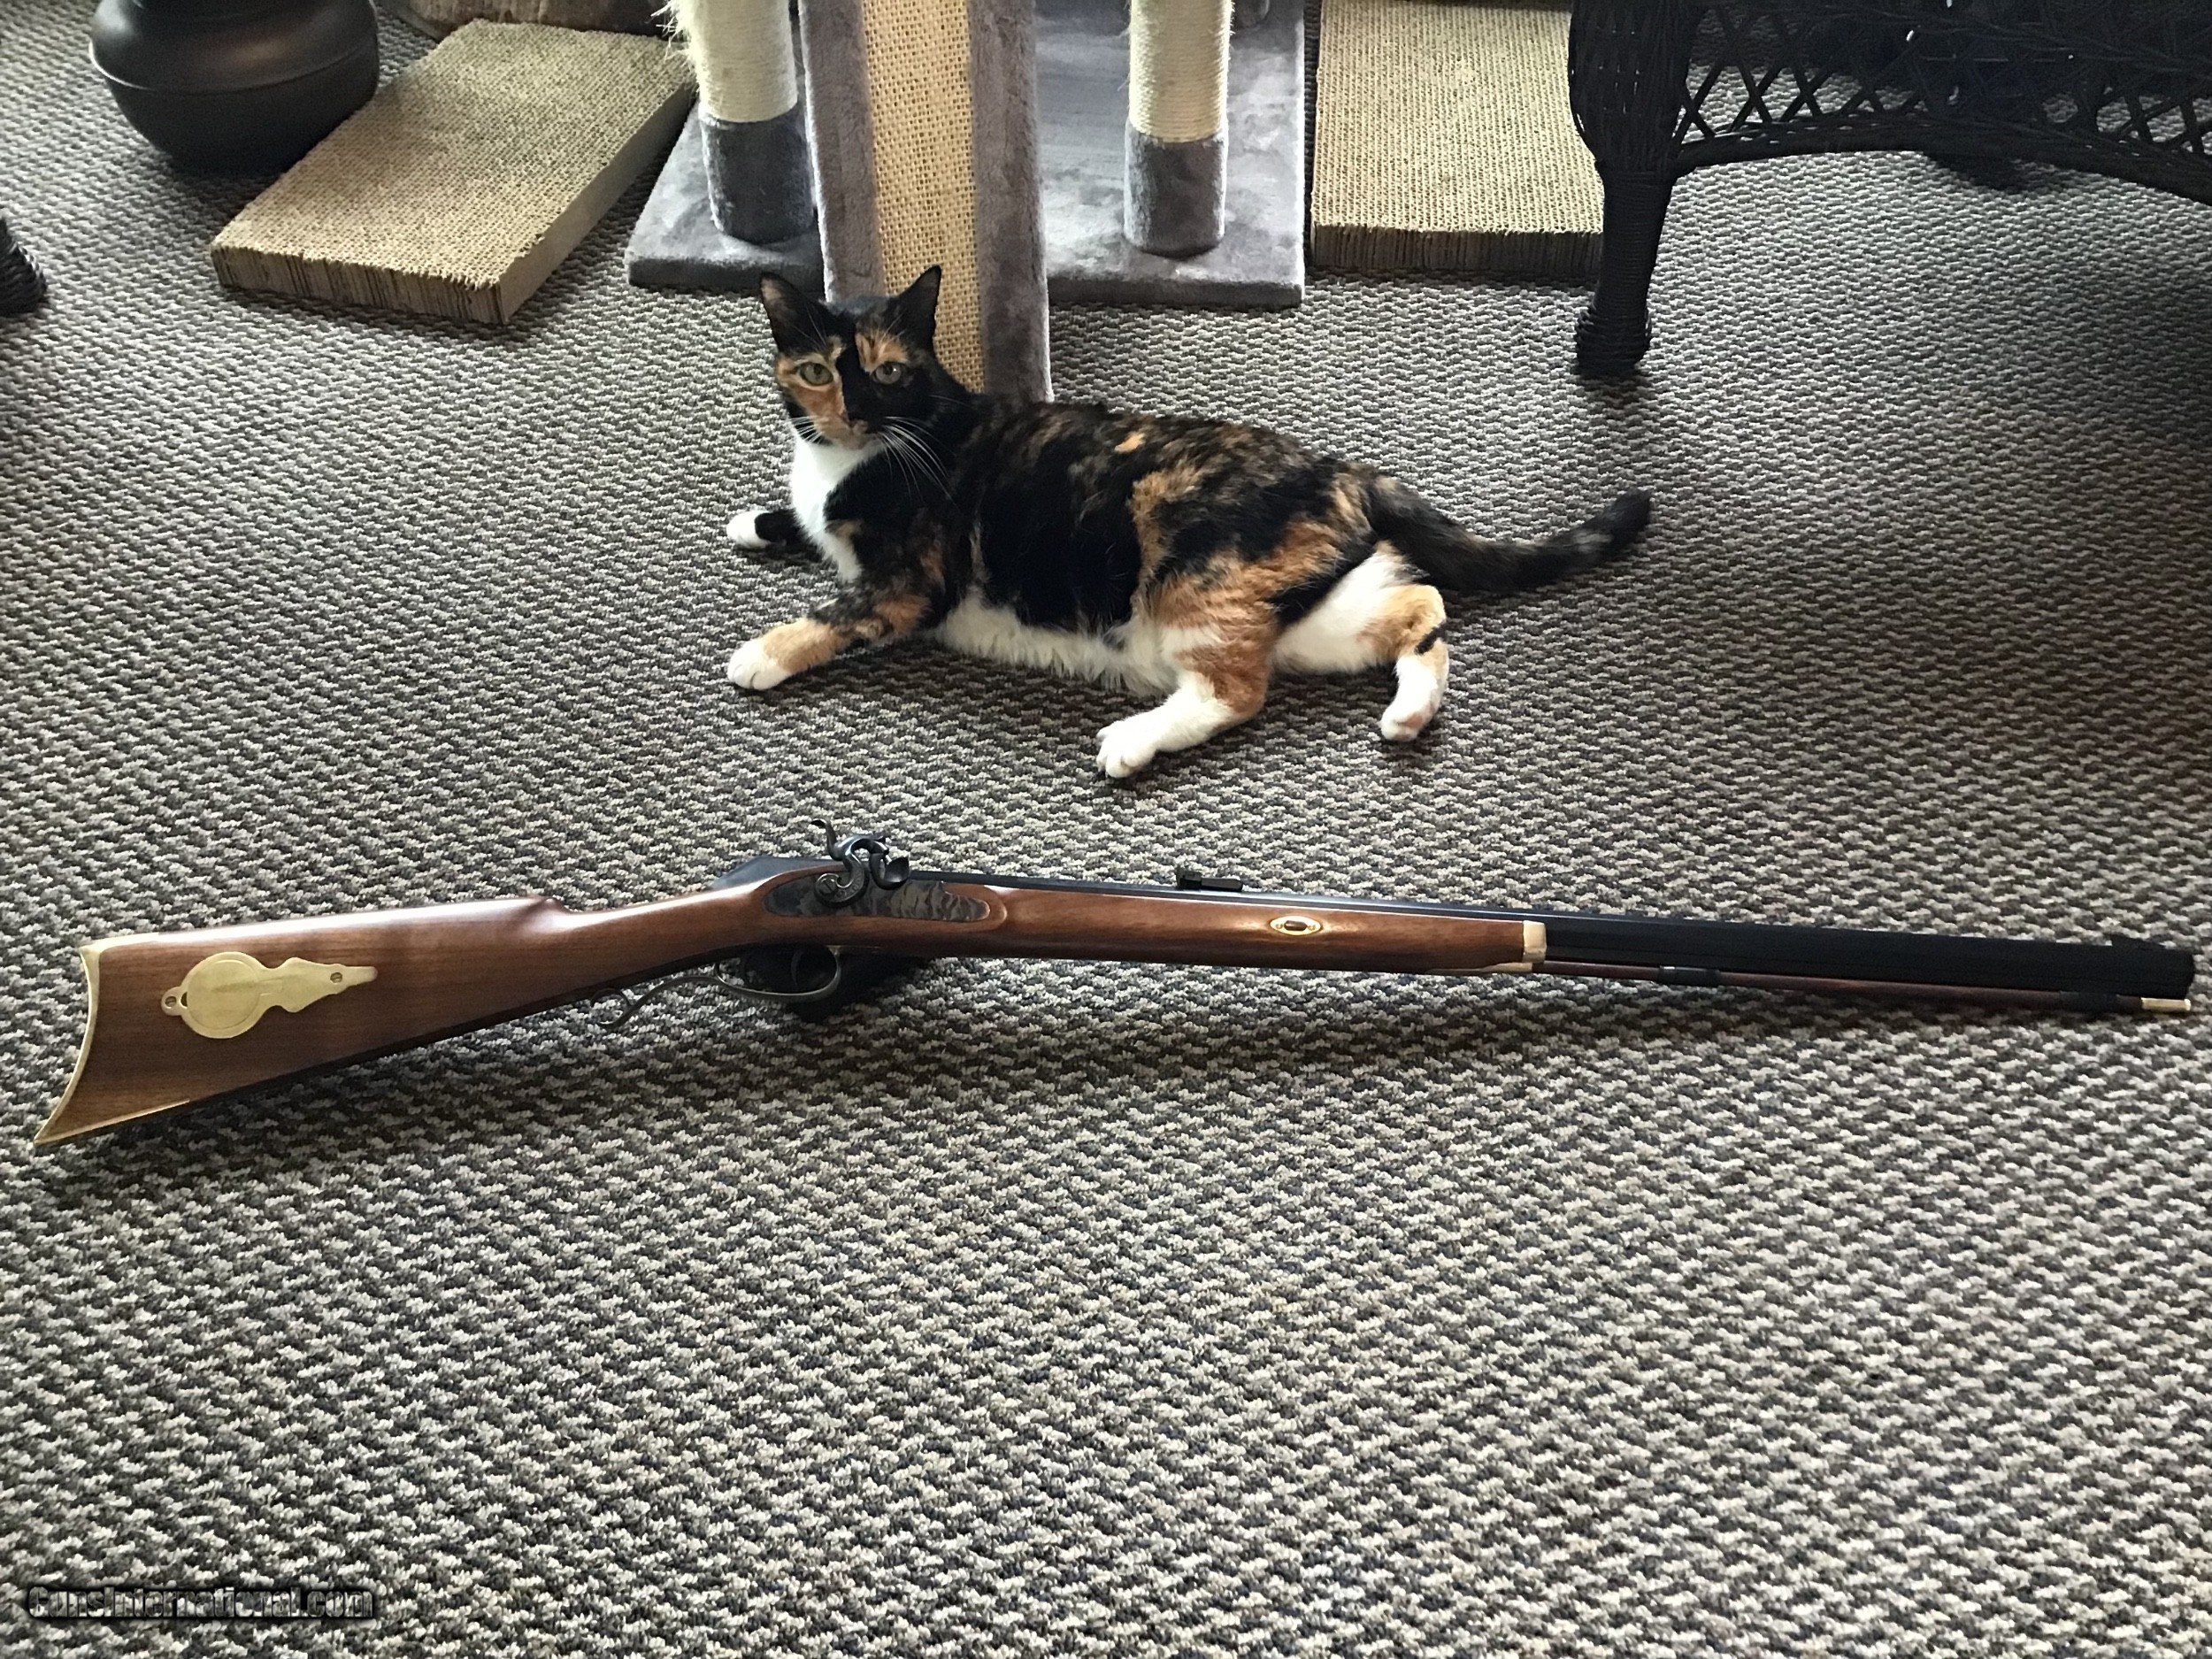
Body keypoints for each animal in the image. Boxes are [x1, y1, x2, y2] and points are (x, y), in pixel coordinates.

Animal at [725, 267, 1651, 778]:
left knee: (1234, 692)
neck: (855, 458)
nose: (850, 411)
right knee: (1420, 608)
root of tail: (1338, 468)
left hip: (1195, 578)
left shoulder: (911, 580)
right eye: (815, 371)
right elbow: (802, 527)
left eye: (885, 371)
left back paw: (1131, 740)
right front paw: (754, 520)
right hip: (1317, 612)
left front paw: (761, 652)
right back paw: (1409, 713)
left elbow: (837, 609)